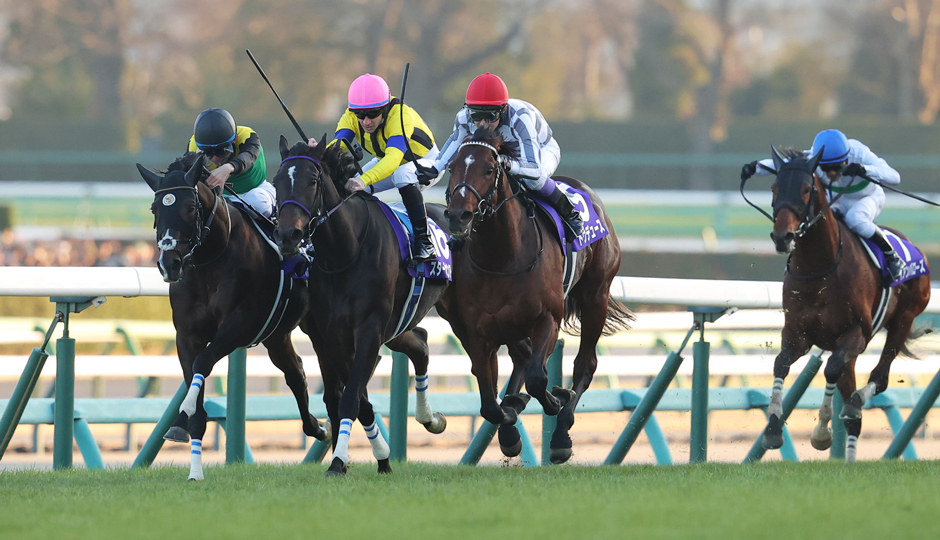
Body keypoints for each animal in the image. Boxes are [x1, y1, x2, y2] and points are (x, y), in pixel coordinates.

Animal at [136, 153, 329, 480]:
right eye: (154, 208)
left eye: (190, 208)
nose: (169, 263)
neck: (210, 260)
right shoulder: (186, 335)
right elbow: (193, 376)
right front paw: (188, 444)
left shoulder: (240, 325)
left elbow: (202, 364)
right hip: (277, 336)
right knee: (296, 372)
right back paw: (317, 427)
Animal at [272, 136, 449, 477]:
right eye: (276, 181)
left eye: (312, 180)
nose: (288, 235)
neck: (345, 252)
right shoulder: (328, 336)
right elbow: (346, 398)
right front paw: (380, 457)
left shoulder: (368, 328)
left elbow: (351, 397)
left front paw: (339, 462)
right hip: (398, 326)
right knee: (421, 343)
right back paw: (430, 418)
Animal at [439, 128, 633, 464]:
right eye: (452, 168)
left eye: (488, 169)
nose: (458, 217)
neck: (501, 257)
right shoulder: (477, 331)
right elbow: (489, 401)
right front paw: (510, 420)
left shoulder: (547, 319)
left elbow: (538, 378)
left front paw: (556, 400)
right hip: (509, 324)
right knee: (522, 360)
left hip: (596, 295)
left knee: (584, 364)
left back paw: (561, 434)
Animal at [758, 147, 931, 462]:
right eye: (774, 188)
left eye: (806, 189)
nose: (782, 237)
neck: (820, 267)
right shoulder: (797, 334)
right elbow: (781, 364)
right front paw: (773, 428)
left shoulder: (855, 334)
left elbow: (830, 369)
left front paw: (822, 432)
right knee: (853, 409)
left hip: (903, 319)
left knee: (878, 378)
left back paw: (856, 401)